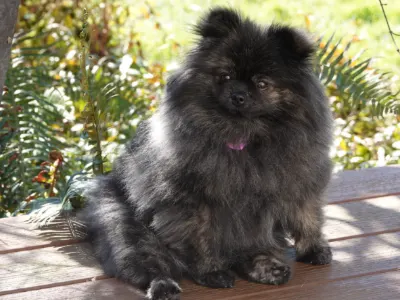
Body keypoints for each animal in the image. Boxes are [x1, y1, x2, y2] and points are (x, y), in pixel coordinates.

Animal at [80, 7, 332, 300]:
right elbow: (201, 241)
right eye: (225, 76)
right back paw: (164, 286)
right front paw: (211, 272)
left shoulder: (297, 184)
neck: (243, 137)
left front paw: (314, 249)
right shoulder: (193, 205)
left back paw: (267, 268)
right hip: (130, 229)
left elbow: (307, 218)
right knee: (149, 262)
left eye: (262, 83)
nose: (238, 95)